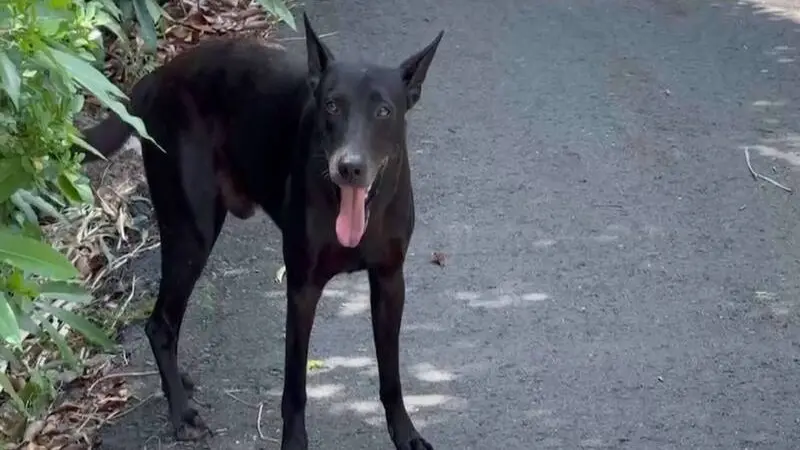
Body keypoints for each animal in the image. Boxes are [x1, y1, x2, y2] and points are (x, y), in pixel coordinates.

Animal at [79, 12, 444, 450]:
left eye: (385, 112)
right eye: (331, 105)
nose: (350, 167)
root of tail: (155, 78)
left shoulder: (390, 281)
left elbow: (391, 374)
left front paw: (405, 433)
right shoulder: (302, 290)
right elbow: (295, 387)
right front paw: (294, 442)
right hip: (191, 234)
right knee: (160, 324)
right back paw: (182, 413)